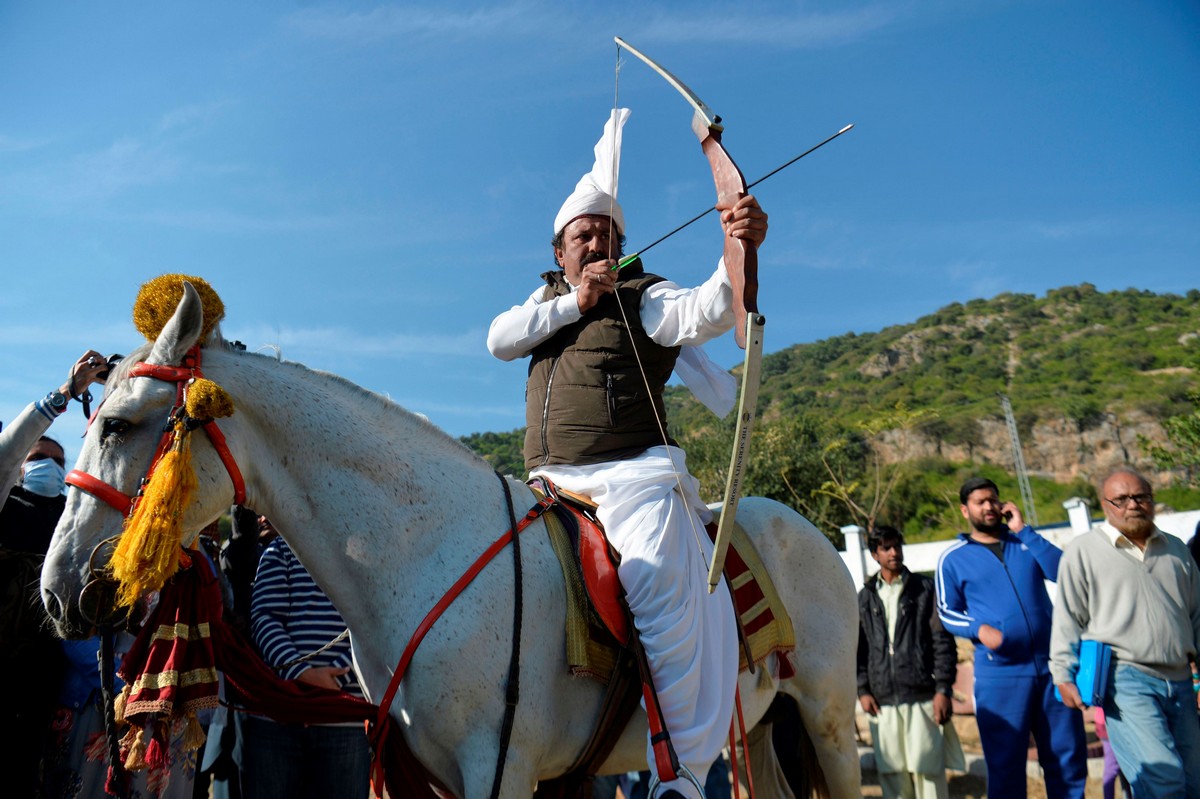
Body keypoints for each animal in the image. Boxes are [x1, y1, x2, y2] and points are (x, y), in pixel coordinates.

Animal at [37, 284, 864, 796]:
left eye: (118, 424)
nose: (58, 589)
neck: (423, 548)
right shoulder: (427, 766)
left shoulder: (500, 766)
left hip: (826, 716)